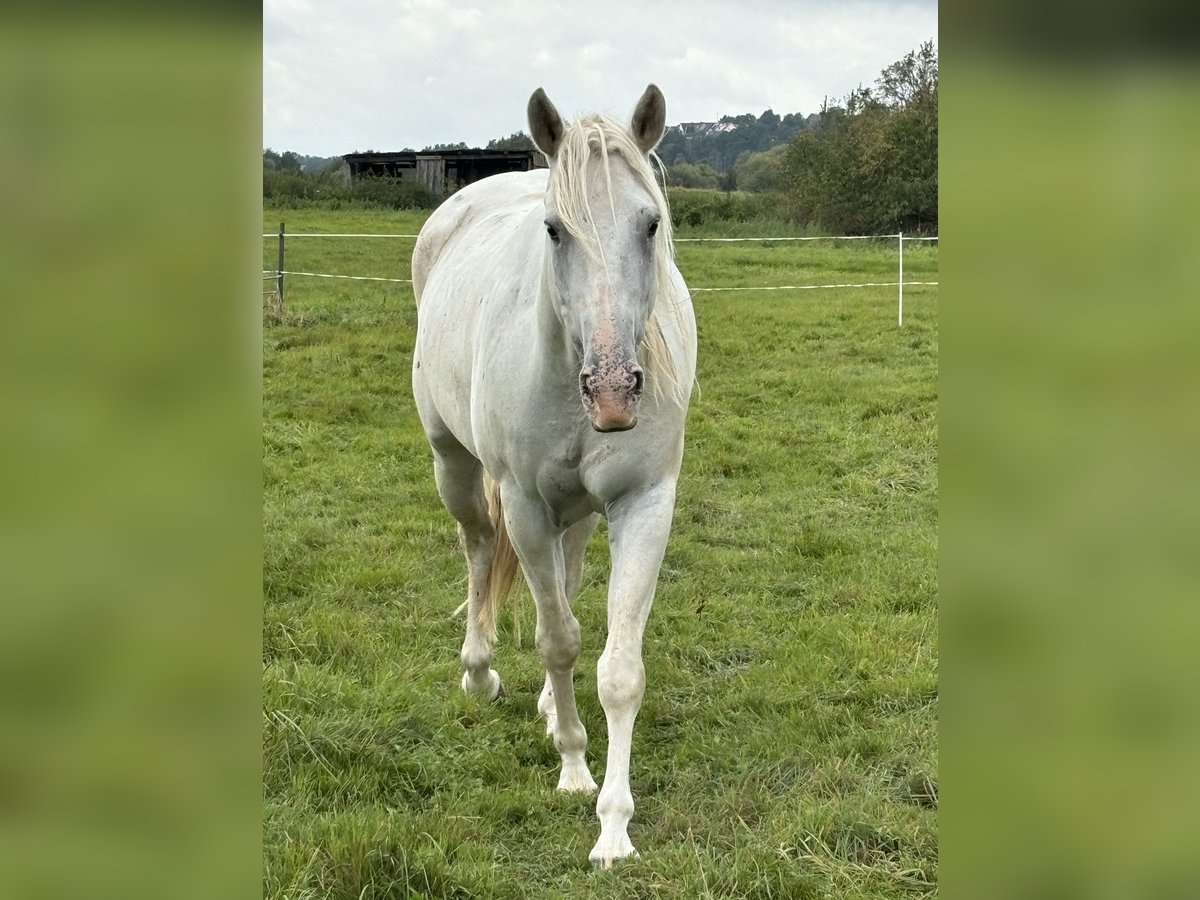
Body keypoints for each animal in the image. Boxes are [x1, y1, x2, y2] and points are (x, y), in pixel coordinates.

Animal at [410, 84, 696, 868]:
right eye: (555, 230)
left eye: (651, 222)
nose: (613, 391)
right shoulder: (526, 506)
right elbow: (557, 641)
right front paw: (573, 766)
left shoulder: (643, 503)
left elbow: (618, 668)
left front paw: (614, 827)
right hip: (456, 466)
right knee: (480, 553)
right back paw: (480, 671)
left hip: (580, 512)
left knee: (564, 580)